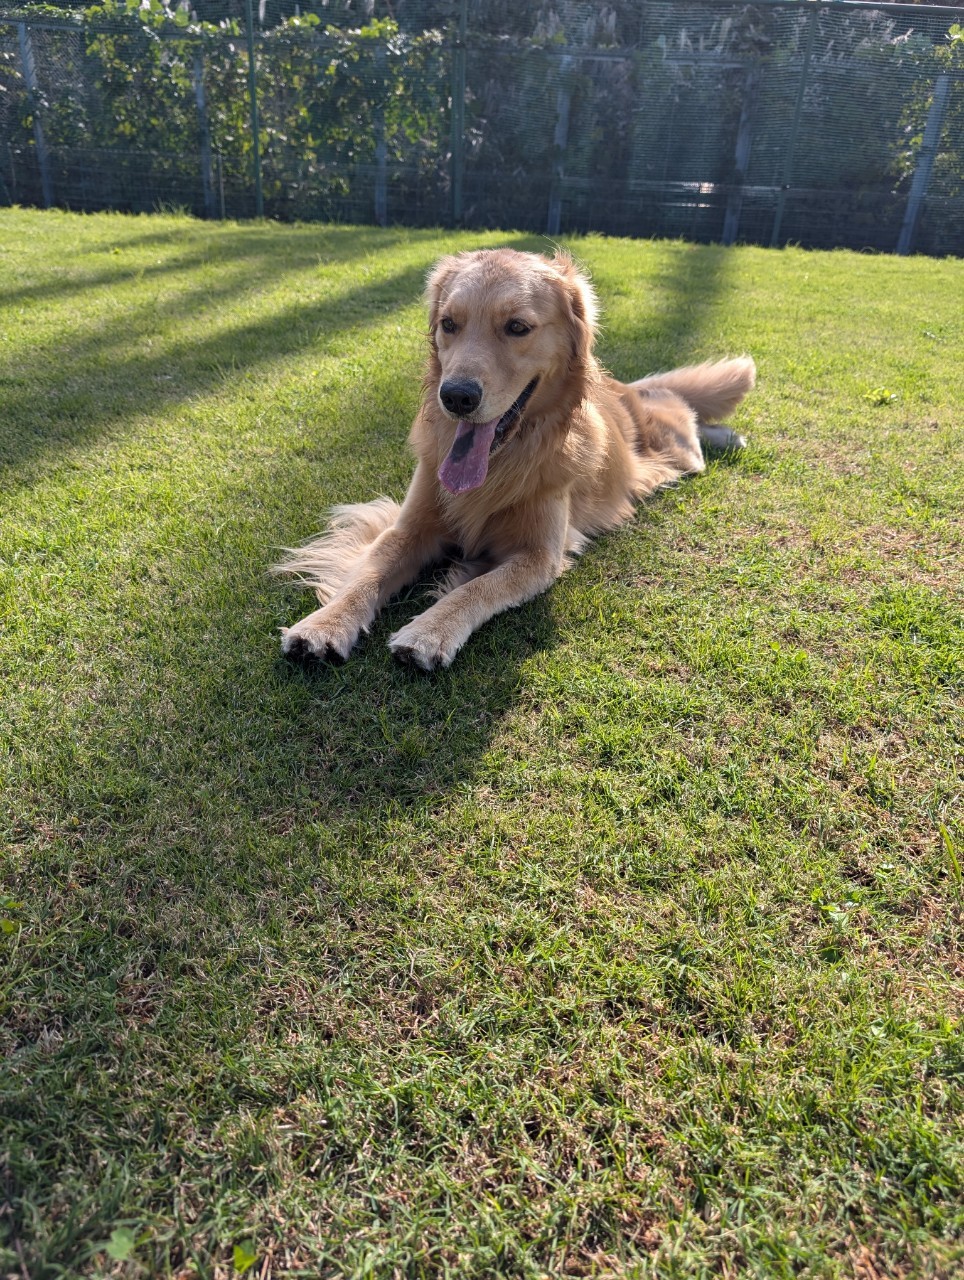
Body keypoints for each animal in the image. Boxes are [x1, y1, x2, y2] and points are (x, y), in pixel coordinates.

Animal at [276, 248, 755, 670]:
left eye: (518, 327)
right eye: (449, 324)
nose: (456, 397)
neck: (502, 461)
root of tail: (624, 390)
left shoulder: (539, 556)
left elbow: (478, 587)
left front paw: (429, 631)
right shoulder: (408, 527)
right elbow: (367, 575)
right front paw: (326, 624)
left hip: (677, 450)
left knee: (681, 407)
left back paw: (728, 435)